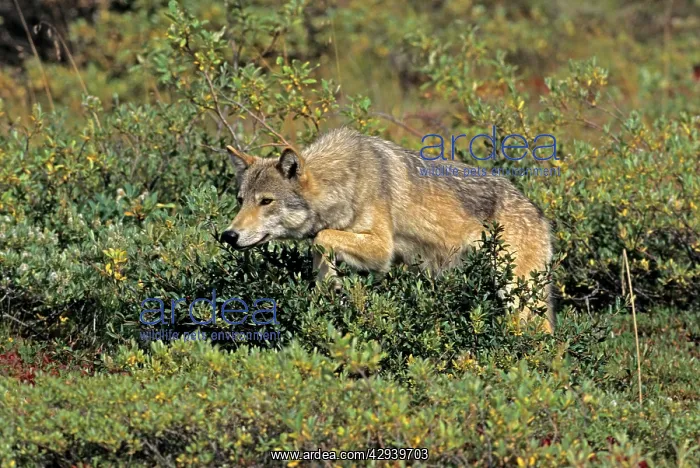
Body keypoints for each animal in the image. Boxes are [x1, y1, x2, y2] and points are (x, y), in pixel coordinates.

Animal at [220, 128, 554, 332]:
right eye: (240, 201)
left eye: (266, 201)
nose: (228, 236)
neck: (345, 181)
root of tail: (540, 215)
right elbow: (320, 249)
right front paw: (329, 289)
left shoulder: (382, 250)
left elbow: (321, 237)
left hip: (517, 295)